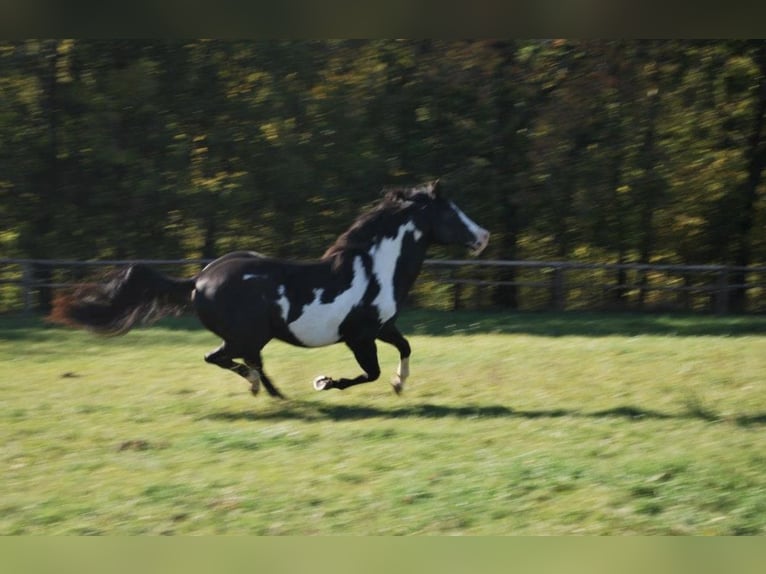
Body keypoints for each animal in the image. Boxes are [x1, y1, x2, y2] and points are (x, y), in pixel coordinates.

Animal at [52, 180, 490, 399]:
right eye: (452, 212)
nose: (483, 236)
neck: (374, 269)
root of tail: (200, 279)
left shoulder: (383, 327)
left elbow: (405, 349)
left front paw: (400, 383)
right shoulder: (360, 336)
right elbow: (370, 373)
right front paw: (325, 382)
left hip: (249, 337)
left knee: (234, 360)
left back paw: (267, 390)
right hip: (249, 335)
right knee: (226, 358)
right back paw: (264, 388)